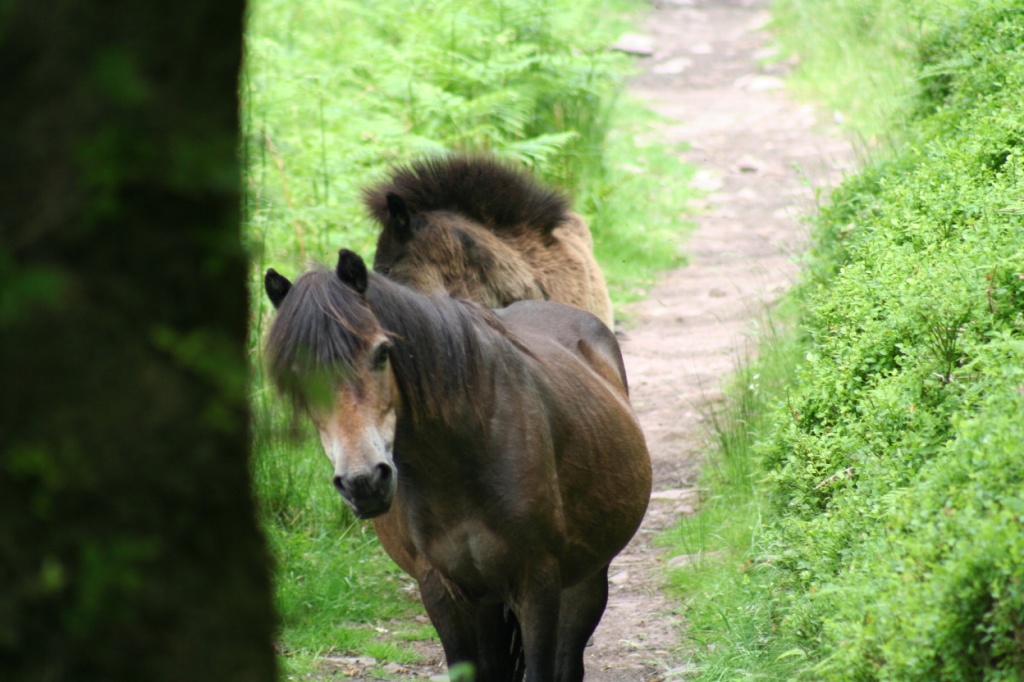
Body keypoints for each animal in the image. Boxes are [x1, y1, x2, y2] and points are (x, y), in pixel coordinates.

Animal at [263, 249, 651, 682]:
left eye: (381, 352)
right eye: (297, 375)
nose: (363, 482)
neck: (460, 466)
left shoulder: (538, 583)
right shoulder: (442, 589)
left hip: (584, 582)